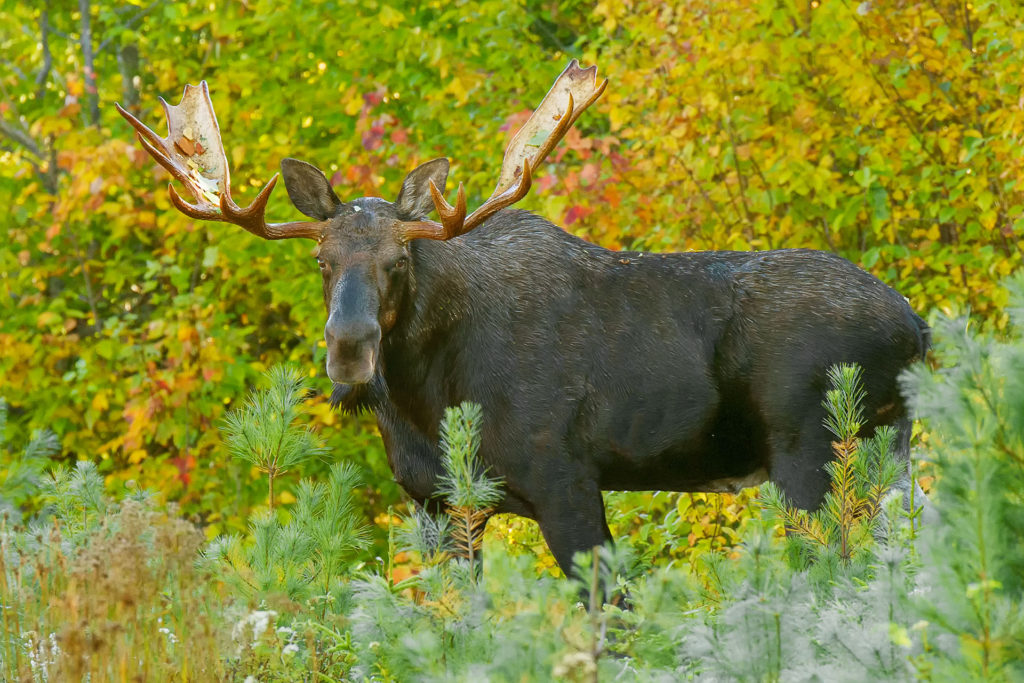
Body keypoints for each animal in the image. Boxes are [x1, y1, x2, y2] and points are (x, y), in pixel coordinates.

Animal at [117, 60, 929, 577]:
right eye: (321, 259)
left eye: (399, 261)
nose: (349, 350)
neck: (428, 398)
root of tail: (918, 329)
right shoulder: (440, 503)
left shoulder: (566, 479)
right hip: (884, 448)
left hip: (810, 453)